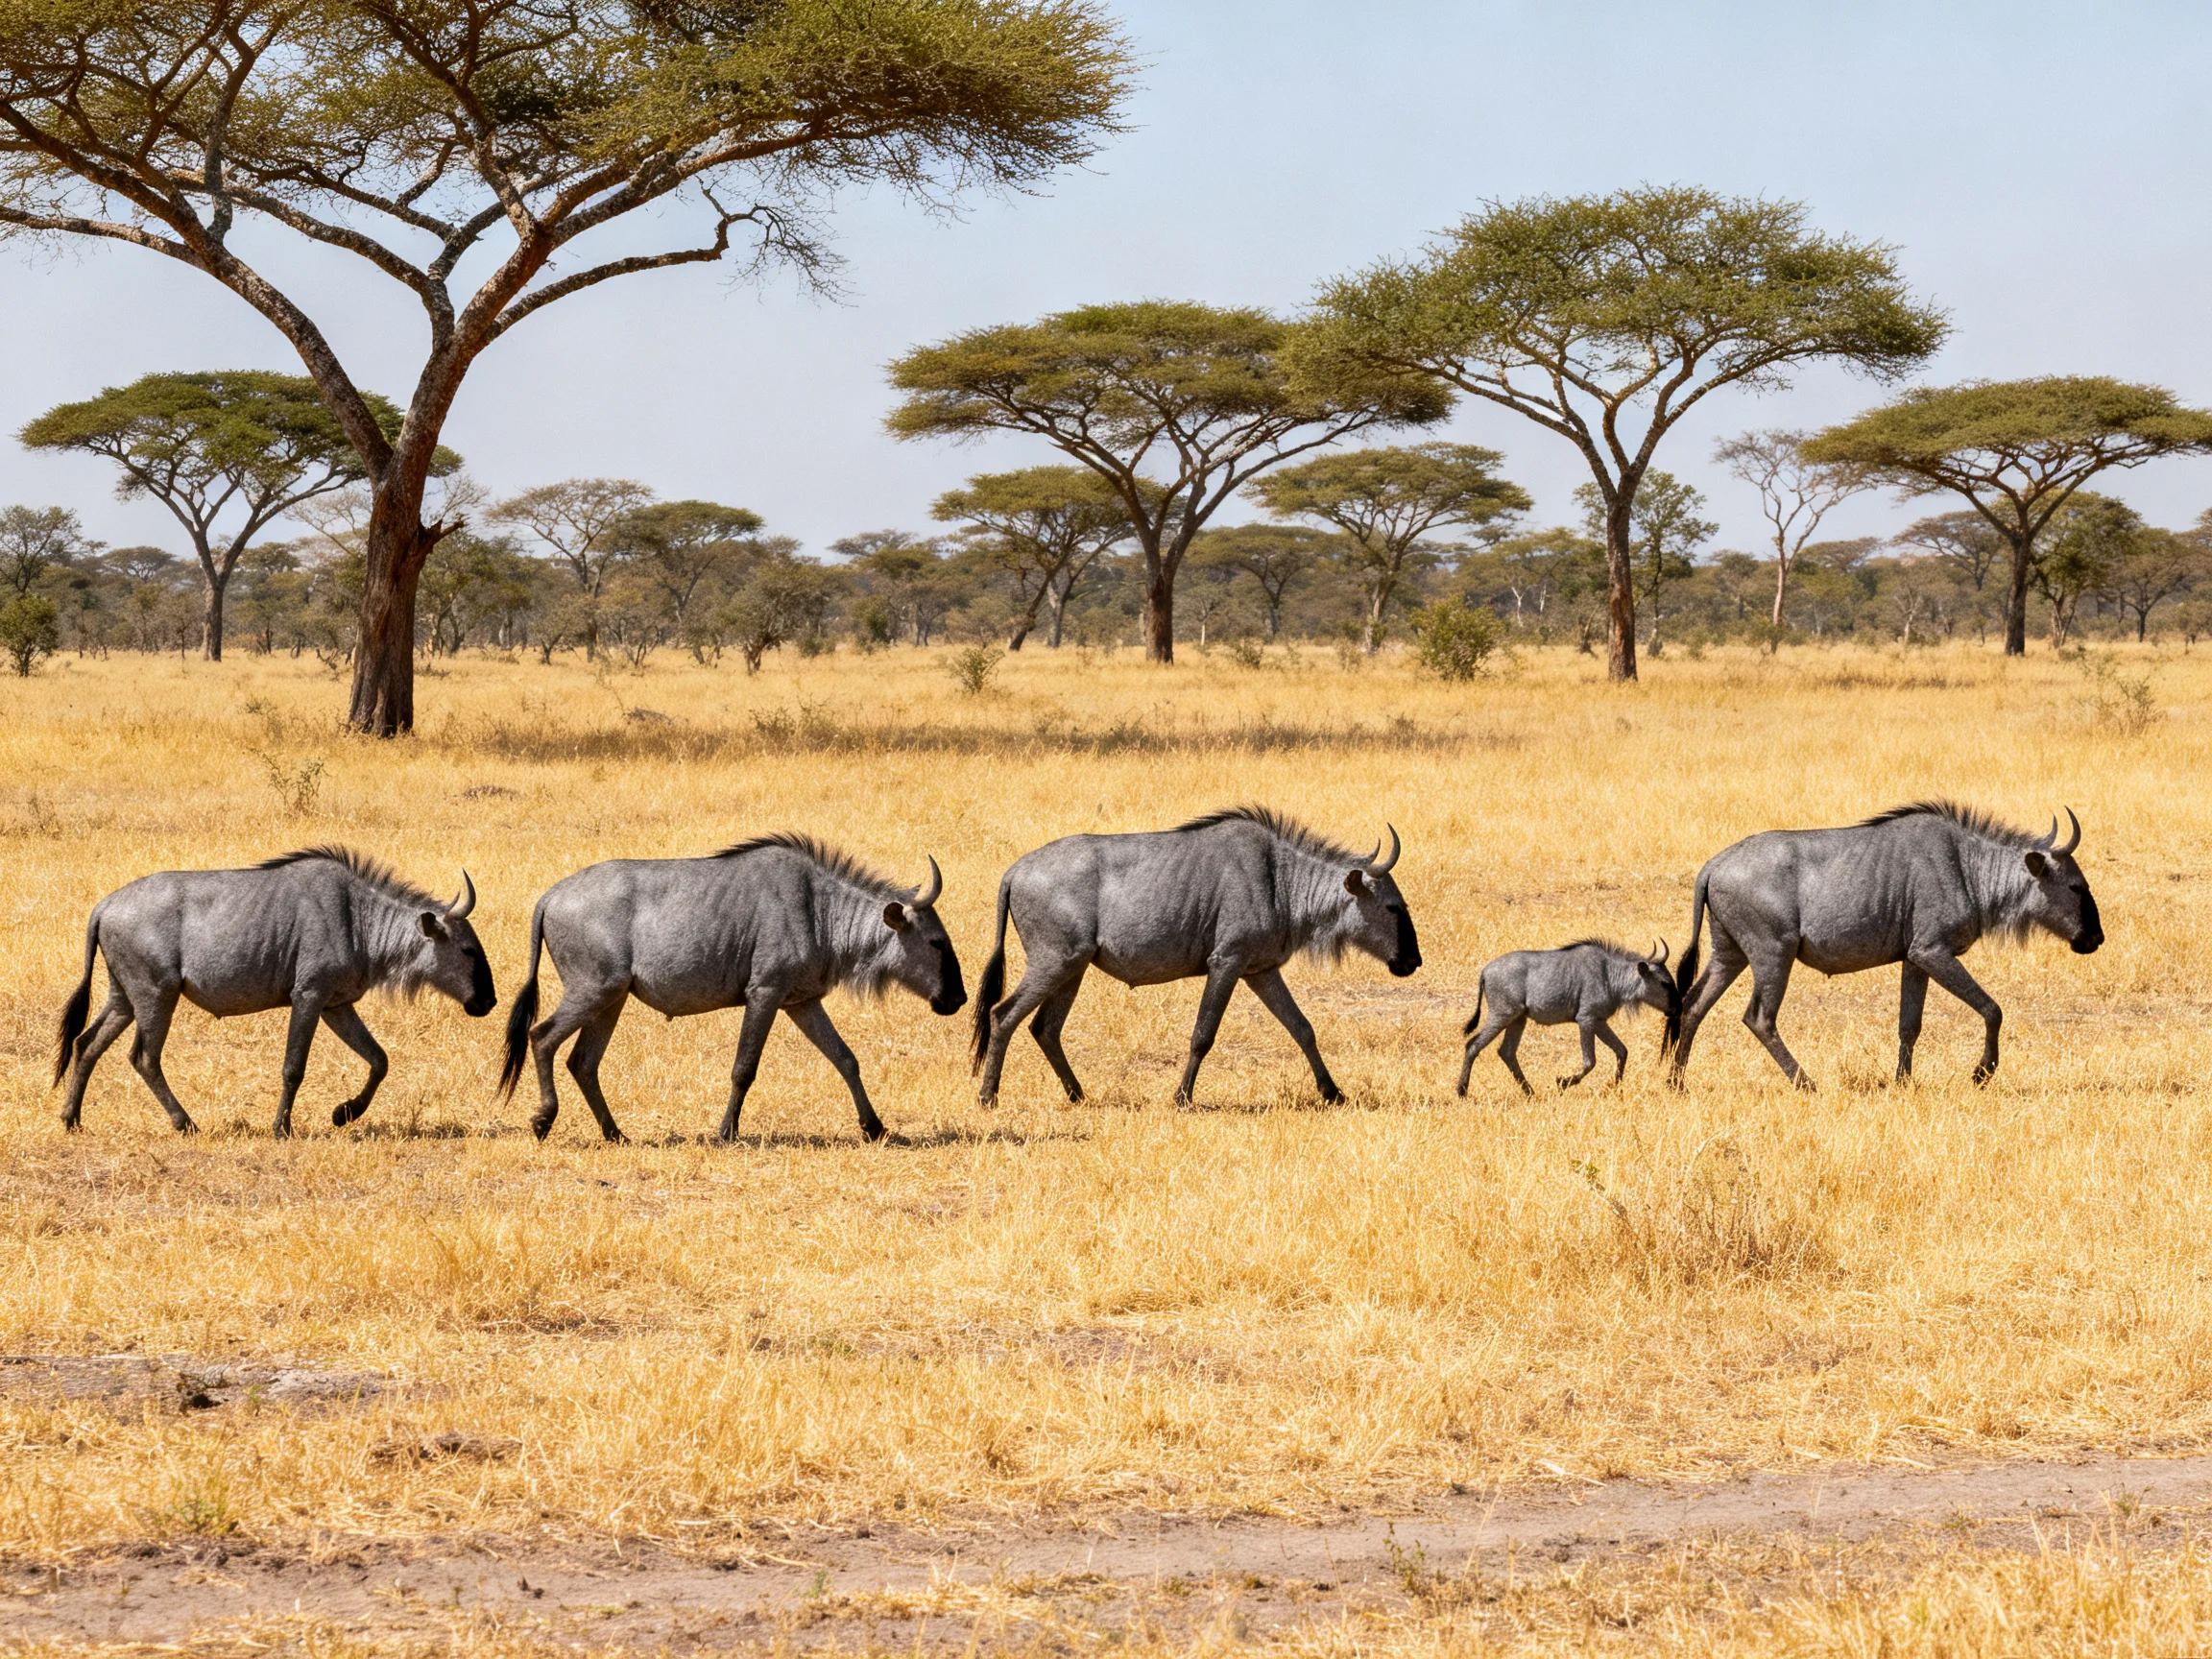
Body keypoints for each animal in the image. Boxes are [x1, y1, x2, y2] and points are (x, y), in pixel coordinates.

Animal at [52, 847, 496, 1136]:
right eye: (468, 949)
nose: (488, 1001)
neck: (357, 919)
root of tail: (104, 907)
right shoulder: (309, 997)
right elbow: (293, 1067)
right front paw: (282, 1128)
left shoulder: (337, 1006)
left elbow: (379, 1060)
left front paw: (345, 1113)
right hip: (157, 995)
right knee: (144, 1057)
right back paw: (185, 1123)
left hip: (123, 998)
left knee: (86, 1043)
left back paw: (72, 1119)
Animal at [498, 836, 964, 1143]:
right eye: (937, 942)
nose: (957, 999)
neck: (819, 909)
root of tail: (549, 897)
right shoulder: (765, 994)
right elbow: (744, 1068)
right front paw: (726, 1132)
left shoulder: (802, 1003)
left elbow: (846, 1059)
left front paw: (875, 1127)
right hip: (592, 990)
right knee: (541, 1037)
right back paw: (543, 1120)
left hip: (611, 999)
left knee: (583, 1062)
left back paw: (615, 1133)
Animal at [970, 807, 1420, 1108]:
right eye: (1393, 907)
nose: (1413, 961)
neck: (1279, 879)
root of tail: (1014, 872)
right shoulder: (1226, 963)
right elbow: (1203, 1034)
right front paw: (1182, 1097)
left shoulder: (1261, 971)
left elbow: (1302, 1028)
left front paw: (1333, 1092)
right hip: (1054, 963)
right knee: (1003, 1015)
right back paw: (988, 1096)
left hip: (1073, 968)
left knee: (1045, 1028)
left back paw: (1078, 1095)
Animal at [1457, 939, 1677, 1096]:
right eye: (1665, 983)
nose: (1678, 1008)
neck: (1610, 976)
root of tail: (1485, 972)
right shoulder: (1586, 1020)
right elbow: (1590, 1061)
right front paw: (1563, 1082)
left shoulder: (1599, 1022)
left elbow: (1622, 1051)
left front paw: (1613, 1088)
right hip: (1502, 1015)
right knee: (1473, 1045)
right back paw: (1462, 1091)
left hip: (1518, 1020)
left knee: (1507, 1052)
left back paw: (1530, 1092)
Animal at [1666, 802, 2104, 1088]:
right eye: (2075, 886)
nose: (2095, 939)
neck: (1967, 867)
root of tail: (1713, 865)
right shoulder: (1933, 952)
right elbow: (1992, 1009)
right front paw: (1982, 1073)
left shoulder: (1915, 959)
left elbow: (1909, 1025)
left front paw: (1903, 1083)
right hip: (1774, 953)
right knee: (1758, 1017)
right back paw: (1806, 1083)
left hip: (1729, 955)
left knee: (1693, 1005)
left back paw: (1676, 1083)